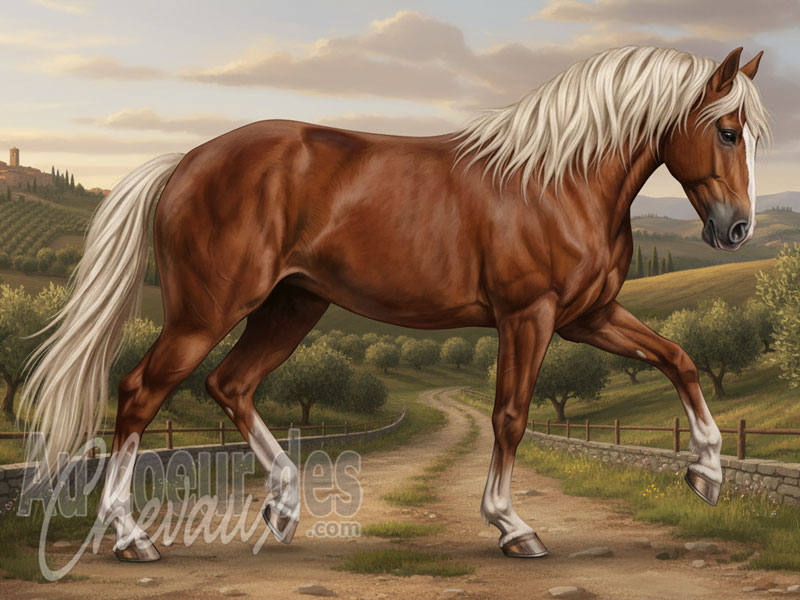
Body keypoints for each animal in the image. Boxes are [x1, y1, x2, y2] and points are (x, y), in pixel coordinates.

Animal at [21, 45, 769, 562]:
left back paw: (283, 508)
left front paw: (706, 473)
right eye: (727, 131)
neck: (557, 179)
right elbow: (510, 417)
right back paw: (131, 538)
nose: (735, 229)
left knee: (229, 384)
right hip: (207, 313)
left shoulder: (588, 317)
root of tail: (184, 162)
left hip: (291, 307)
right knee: (140, 392)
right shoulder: (528, 316)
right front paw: (512, 526)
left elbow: (679, 359)